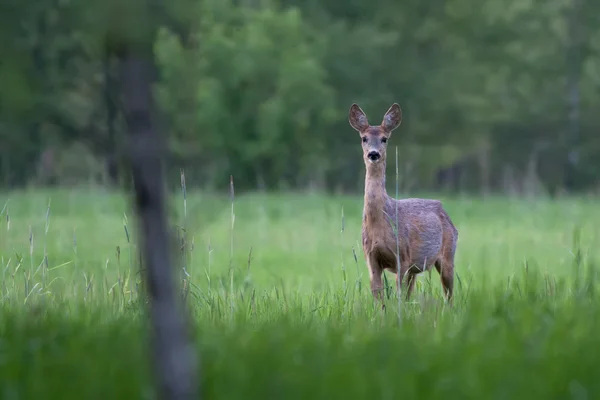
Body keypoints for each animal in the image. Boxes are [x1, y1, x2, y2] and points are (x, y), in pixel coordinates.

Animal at [350, 102, 458, 306]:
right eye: (364, 138)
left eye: (384, 139)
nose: (373, 154)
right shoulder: (371, 257)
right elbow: (378, 296)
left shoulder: (403, 255)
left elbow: (398, 295)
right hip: (416, 268)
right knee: (412, 292)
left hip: (448, 252)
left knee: (449, 293)